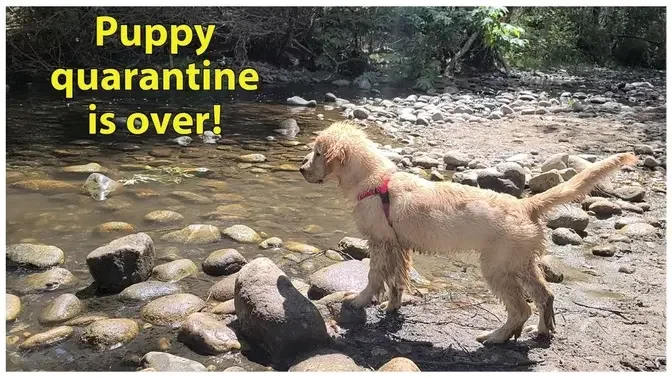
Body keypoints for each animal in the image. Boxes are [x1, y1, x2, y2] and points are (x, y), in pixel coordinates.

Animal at [300, 119, 640, 344]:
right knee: (545, 295)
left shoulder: (381, 242)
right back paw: (541, 331)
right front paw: (391, 307)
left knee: (521, 309)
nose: (301, 169)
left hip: (497, 266)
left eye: (317, 153)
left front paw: (358, 301)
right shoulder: (398, 245)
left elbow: (374, 277)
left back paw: (495, 337)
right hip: (520, 262)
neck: (374, 180)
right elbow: (397, 280)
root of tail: (525, 205)